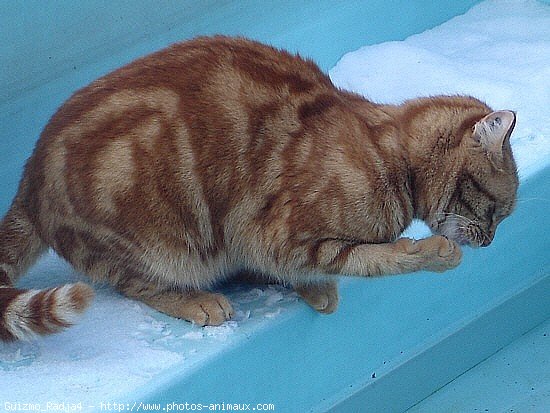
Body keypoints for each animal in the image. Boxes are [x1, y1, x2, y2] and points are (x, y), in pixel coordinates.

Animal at [0, 36, 516, 338]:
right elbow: (378, 259)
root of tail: (29, 177)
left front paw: (314, 290)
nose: (492, 241)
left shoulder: (267, 241)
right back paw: (197, 301)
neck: (387, 151)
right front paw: (434, 254)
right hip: (159, 244)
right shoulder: (278, 235)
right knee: (136, 285)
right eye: (496, 211)